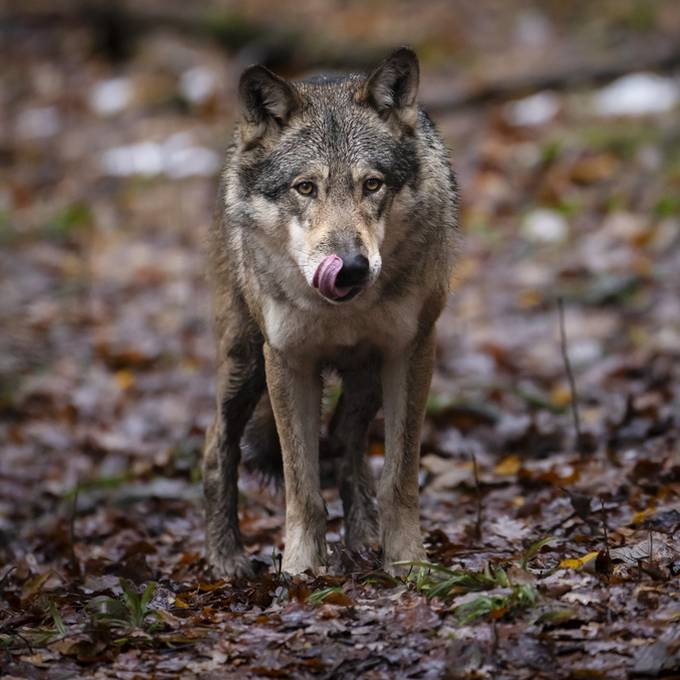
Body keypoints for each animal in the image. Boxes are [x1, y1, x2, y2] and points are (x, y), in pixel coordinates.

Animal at [201, 47, 456, 576]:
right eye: (305, 188)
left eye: (372, 185)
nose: (352, 268)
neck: (343, 311)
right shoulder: (287, 361)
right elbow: (302, 488)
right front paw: (301, 571)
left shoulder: (410, 352)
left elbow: (399, 478)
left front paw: (408, 563)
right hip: (244, 363)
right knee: (217, 447)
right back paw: (226, 558)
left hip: (367, 376)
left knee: (344, 439)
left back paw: (362, 538)